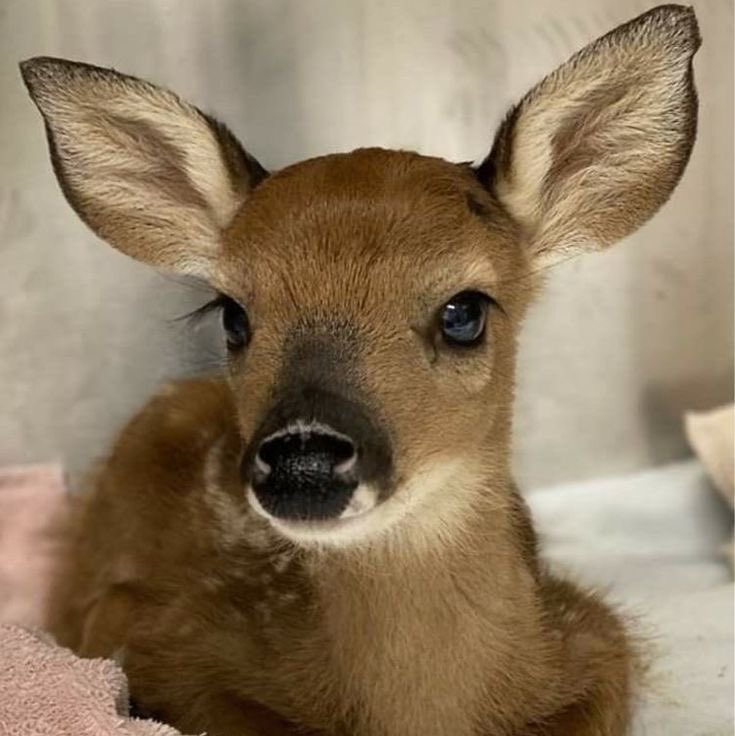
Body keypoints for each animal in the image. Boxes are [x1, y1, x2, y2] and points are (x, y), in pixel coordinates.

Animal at [19, 5, 699, 735]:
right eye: (233, 315)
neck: (422, 709)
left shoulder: (593, 635)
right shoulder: (154, 633)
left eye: (464, 312)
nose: (304, 459)